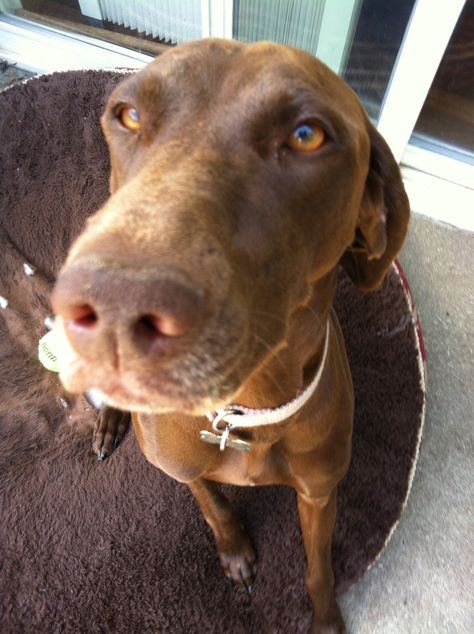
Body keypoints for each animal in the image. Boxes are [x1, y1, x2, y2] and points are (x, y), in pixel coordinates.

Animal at [51, 40, 408, 632]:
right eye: (129, 115)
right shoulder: (180, 467)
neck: (244, 414)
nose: (114, 300)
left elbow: (317, 567)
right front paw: (235, 549)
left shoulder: (320, 495)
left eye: (306, 135)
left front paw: (325, 617)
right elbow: (210, 502)